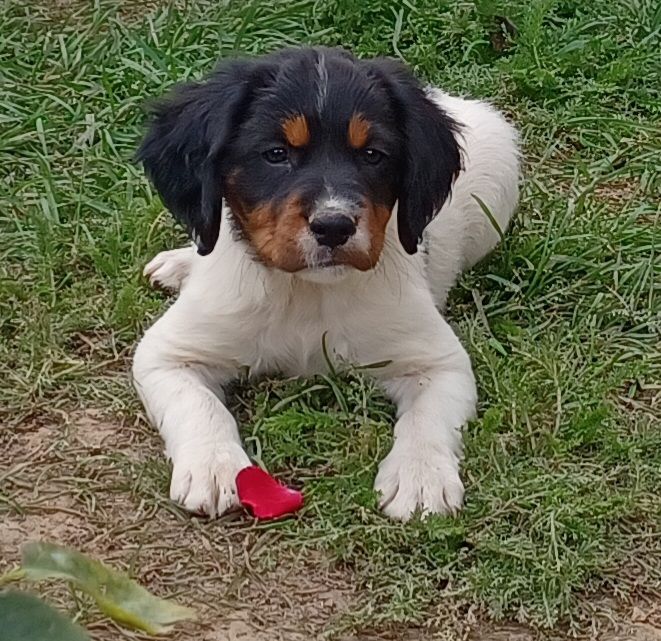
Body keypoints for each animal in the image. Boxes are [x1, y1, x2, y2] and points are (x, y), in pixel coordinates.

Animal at [131, 48, 520, 520]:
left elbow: (427, 418)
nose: (334, 227)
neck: (306, 290)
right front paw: (215, 466)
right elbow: (201, 406)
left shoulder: (438, 361)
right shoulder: (168, 356)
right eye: (276, 154)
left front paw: (420, 477)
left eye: (372, 154)